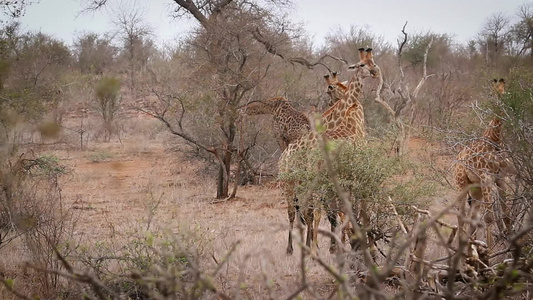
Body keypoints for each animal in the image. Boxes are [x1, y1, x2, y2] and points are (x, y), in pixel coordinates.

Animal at [282, 48, 378, 254]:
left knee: (307, 212)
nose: (375, 72)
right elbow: (328, 213)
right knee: (294, 212)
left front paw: (331, 246)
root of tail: (283, 156)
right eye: (361, 64)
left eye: (373, 62)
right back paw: (292, 248)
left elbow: (333, 213)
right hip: (289, 183)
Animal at [454, 78, 512, 251]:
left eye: (505, 93)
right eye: (493, 93)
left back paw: (469, 246)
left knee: (472, 218)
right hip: (461, 184)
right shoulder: (486, 176)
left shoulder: (500, 178)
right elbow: (490, 218)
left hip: (476, 190)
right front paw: (491, 252)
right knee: (461, 216)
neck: (495, 139)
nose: (501, 105)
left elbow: (506, 214)